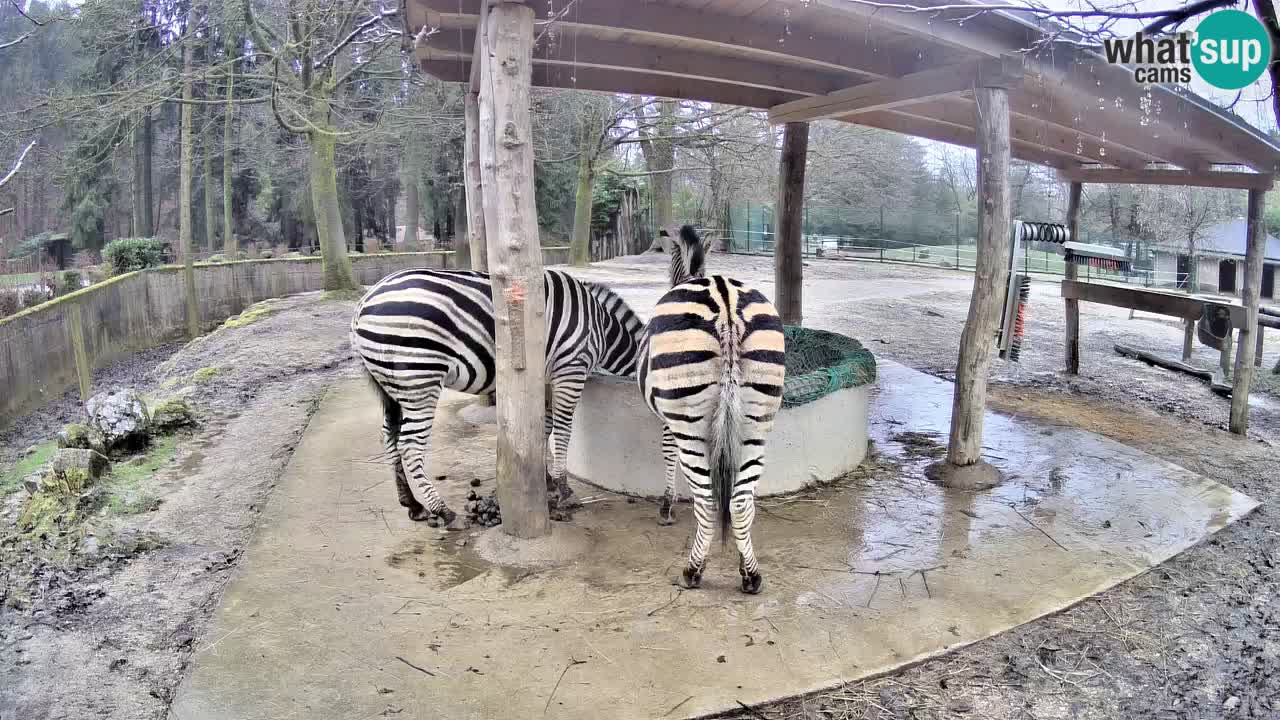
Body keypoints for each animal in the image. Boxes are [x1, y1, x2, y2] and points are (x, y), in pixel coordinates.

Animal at [350, 266, 645, 530]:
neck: (602, 327)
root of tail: (362, 305)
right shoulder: (570, 369)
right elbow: (562, 430)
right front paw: (564, 490)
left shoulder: (546, 378)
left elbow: (544, 428)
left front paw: (546, 479)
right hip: (420, 378)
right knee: (409, 445)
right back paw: (445, 512)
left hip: (390, 387)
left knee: (389, 437)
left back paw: (413, 504)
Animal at [637, 225, 783, 594]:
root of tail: (725, 300)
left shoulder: (668, 417)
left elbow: (667, 452)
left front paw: (667, 506)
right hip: (756, 420)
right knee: (741, 502)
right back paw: (750, 575)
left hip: (689, 421)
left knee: (705, 500)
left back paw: (693, 570)